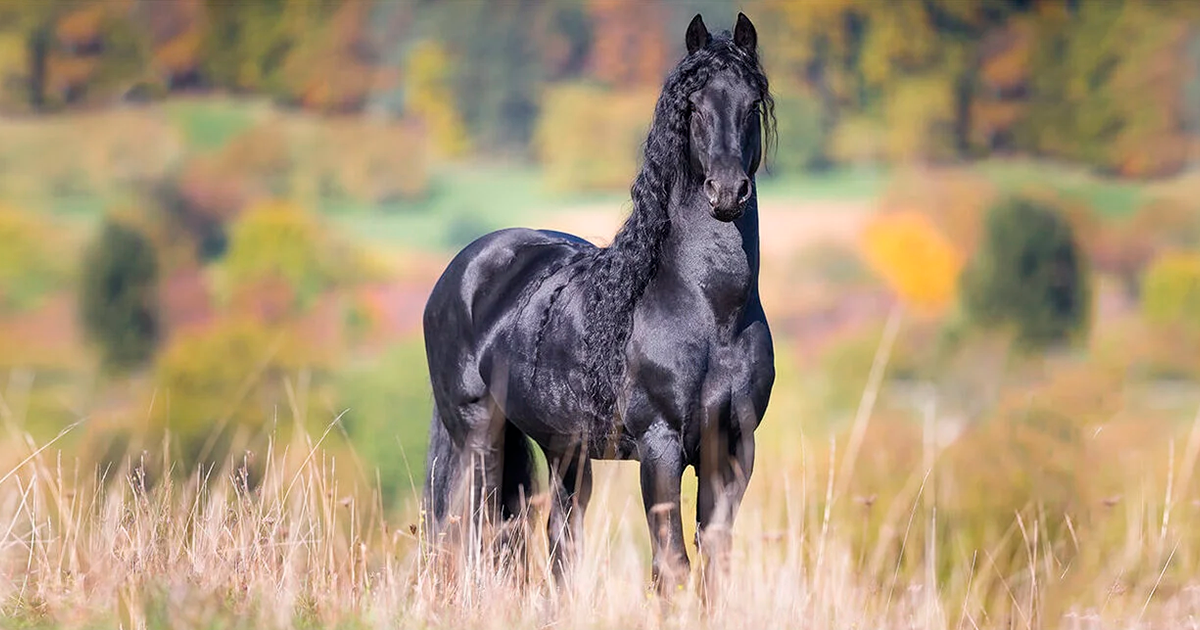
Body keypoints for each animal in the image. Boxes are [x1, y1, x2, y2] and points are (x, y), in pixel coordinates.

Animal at [422, 13, 777, 595]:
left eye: (752, 104)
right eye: (693, 106)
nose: (727, 192)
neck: (710, 313)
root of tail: (463, 270)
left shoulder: (731, 450)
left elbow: (714, 563)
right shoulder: (660, 447)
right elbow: (671, 565)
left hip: (564, 450)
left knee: (556, 538)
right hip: (477, 437)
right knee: (472, 532)